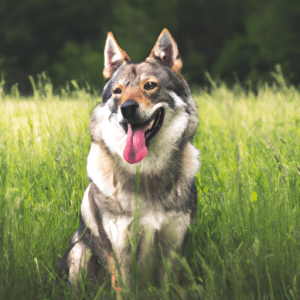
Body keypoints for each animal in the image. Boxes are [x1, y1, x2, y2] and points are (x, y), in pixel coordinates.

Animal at [57, 28, 200, 296]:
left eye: (150, 85)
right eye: (118, 91)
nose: (127, 108)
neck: (146, 173)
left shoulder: (172, 247)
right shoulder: (121, 249)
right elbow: (125, 290)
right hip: (79, 253)